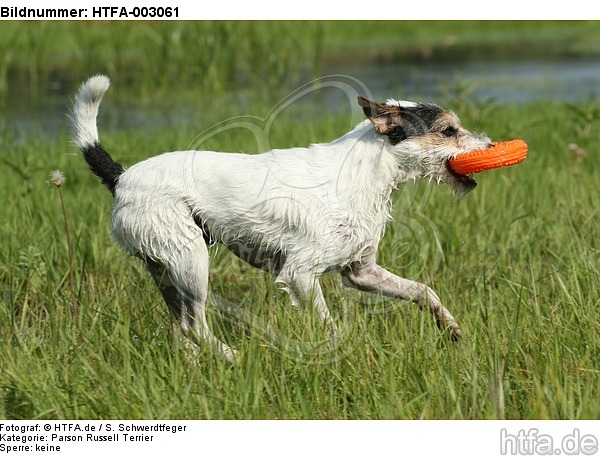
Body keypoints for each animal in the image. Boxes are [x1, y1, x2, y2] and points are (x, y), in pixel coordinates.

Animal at [70, 75, 492, 364]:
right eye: (449, 130)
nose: (490, 145)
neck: (364, 173)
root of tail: (122, 176)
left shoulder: (361, 271)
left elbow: (424, 291)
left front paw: (451, 328)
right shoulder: (300, 274)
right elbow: (328, 324)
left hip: (166, 271)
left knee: (180, 328)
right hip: (191, 260)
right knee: (195, 325)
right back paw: (232, 356)